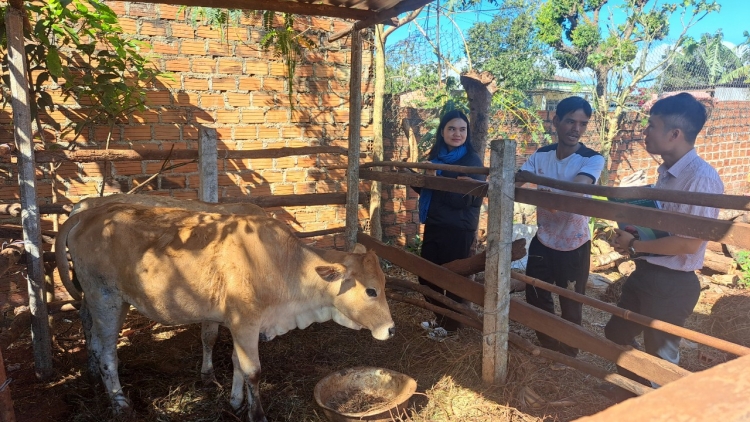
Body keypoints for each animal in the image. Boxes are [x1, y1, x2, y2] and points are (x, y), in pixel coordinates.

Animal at [55, 203, 396, 420]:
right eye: (370, 291)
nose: (391, 329)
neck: (285, 266)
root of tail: (87, 214)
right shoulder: (245, 322)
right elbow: (253, 371)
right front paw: (256, 414)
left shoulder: (240, 324)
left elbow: (236, 363)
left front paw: (235, 401)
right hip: (105, 299)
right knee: (108, 354)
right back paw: (120, 404)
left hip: (113, 301)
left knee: (96, 345)